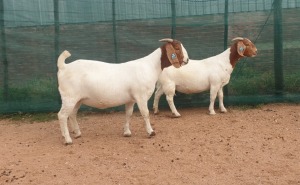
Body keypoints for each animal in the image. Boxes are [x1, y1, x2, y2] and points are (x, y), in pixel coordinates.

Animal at [56, 39, 188, 145]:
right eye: (177, 48)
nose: (187, 60)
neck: (150, 66)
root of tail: (64, 67)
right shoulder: (141, 96)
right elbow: (145, 113)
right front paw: (151, 132)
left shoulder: (131, 99)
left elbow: (128, 114)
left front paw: (127, 132)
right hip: (69, 97)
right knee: (62, 115)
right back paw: (68, 140)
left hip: (77, 99)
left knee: (72, 114)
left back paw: (77, 133)